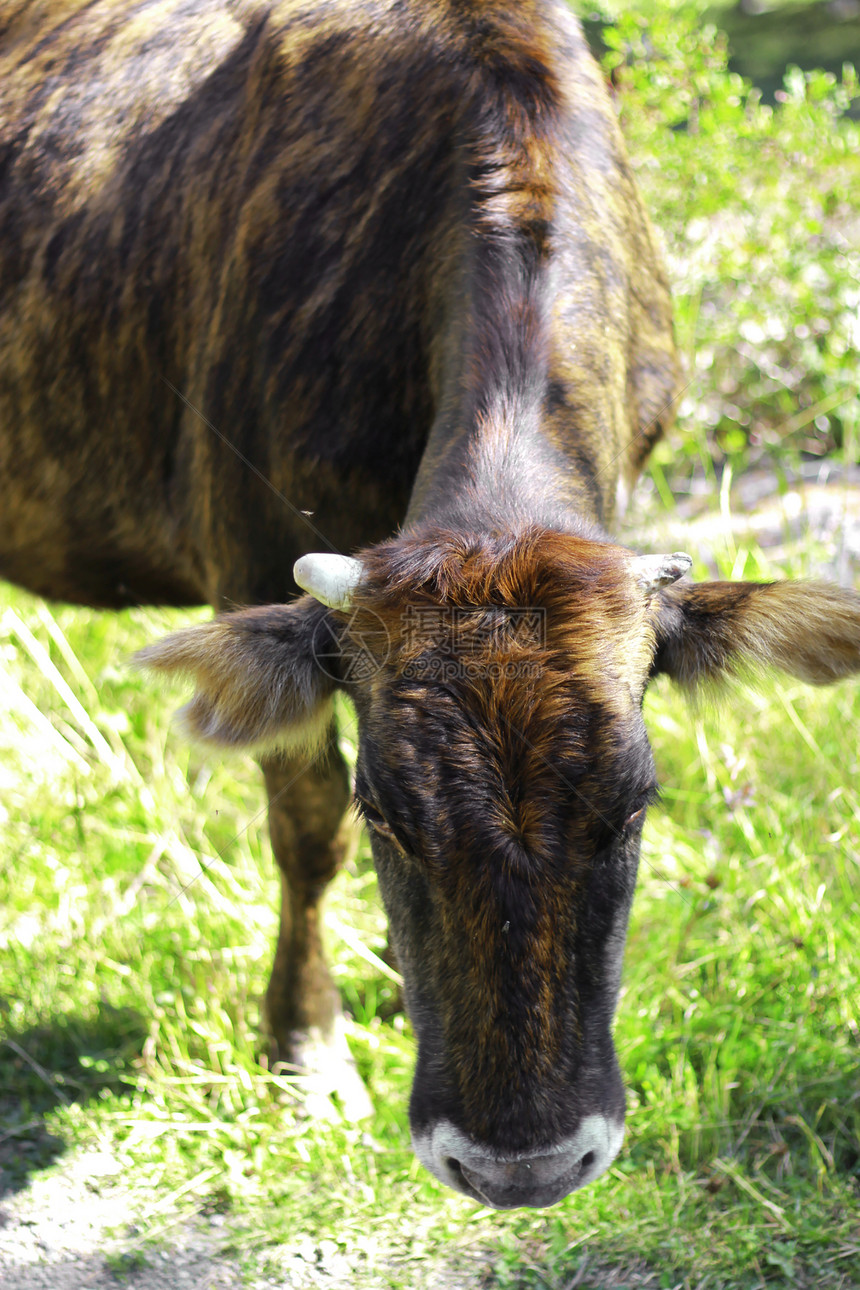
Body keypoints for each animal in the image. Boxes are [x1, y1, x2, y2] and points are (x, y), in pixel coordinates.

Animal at [1, 0, 860, 1207]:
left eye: (634, 805)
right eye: (387, 812)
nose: (521, 1164)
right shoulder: (249, 556)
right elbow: (302, 834)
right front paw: (308, 1052)